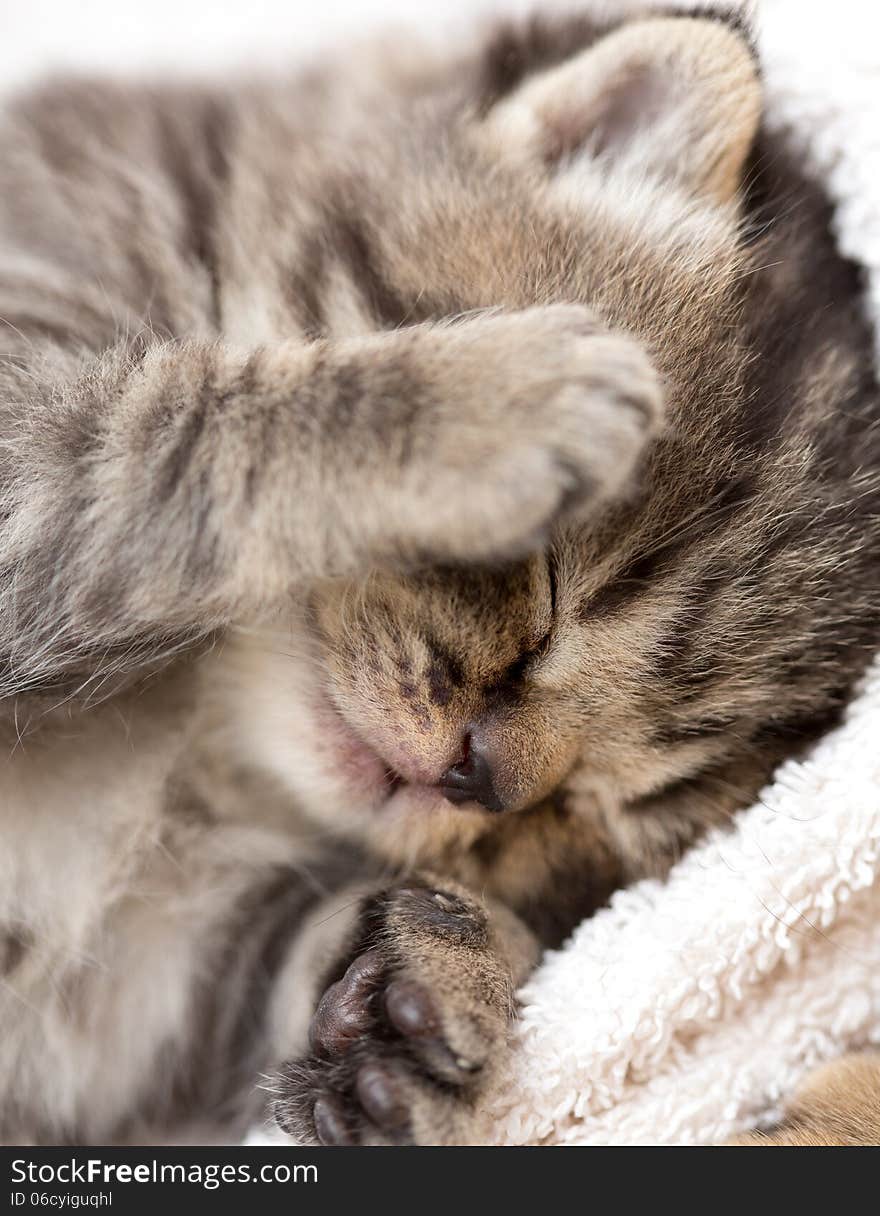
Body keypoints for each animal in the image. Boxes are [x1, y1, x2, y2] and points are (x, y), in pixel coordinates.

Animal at [1, 9, 880, 1143]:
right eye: (551, 590)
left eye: (611, 814)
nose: (481, 774)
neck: (203, 754)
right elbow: (153, 431)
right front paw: (501, 399)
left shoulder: (150, 1008)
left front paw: (435, 974)